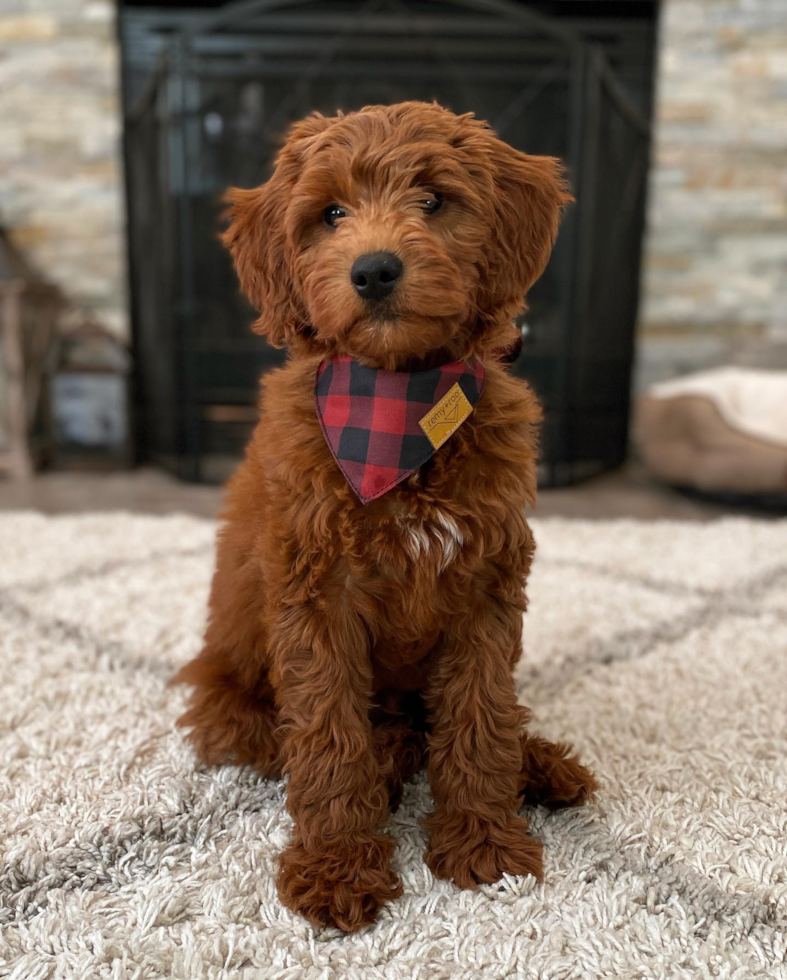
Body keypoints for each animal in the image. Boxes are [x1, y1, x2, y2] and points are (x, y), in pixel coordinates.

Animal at [175, 101, 596, 936]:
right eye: (330, 214)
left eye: (432, 199)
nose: (373, 270)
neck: (400, 409)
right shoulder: (318, 599)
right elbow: (329, 738)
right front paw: (336, 867)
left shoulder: (485, 587)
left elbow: (480, 715)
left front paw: (484, 841)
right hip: (233, 700)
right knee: (306, 742)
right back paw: (393, 764)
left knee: (477, 717)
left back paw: (535, 764)